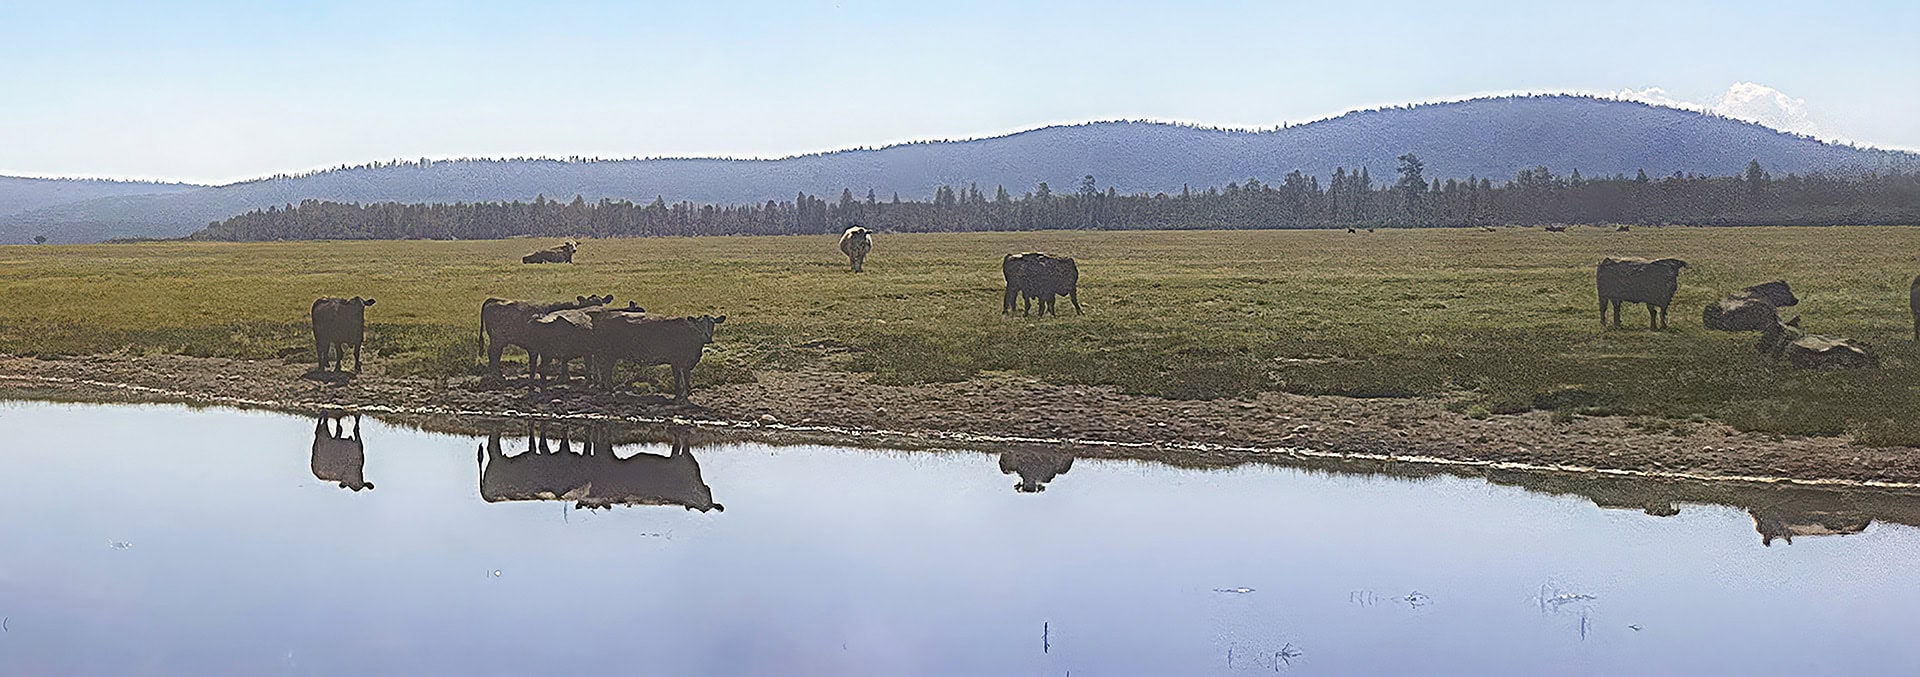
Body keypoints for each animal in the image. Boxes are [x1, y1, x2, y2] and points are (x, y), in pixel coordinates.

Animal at [479, 295, 612, 380]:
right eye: (589, 304)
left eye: (601, 303)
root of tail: (495, 300)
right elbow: (564, 358)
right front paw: (564, 376)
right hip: (498, 339)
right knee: (493, 353)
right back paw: (496, 375)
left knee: (494, 354)